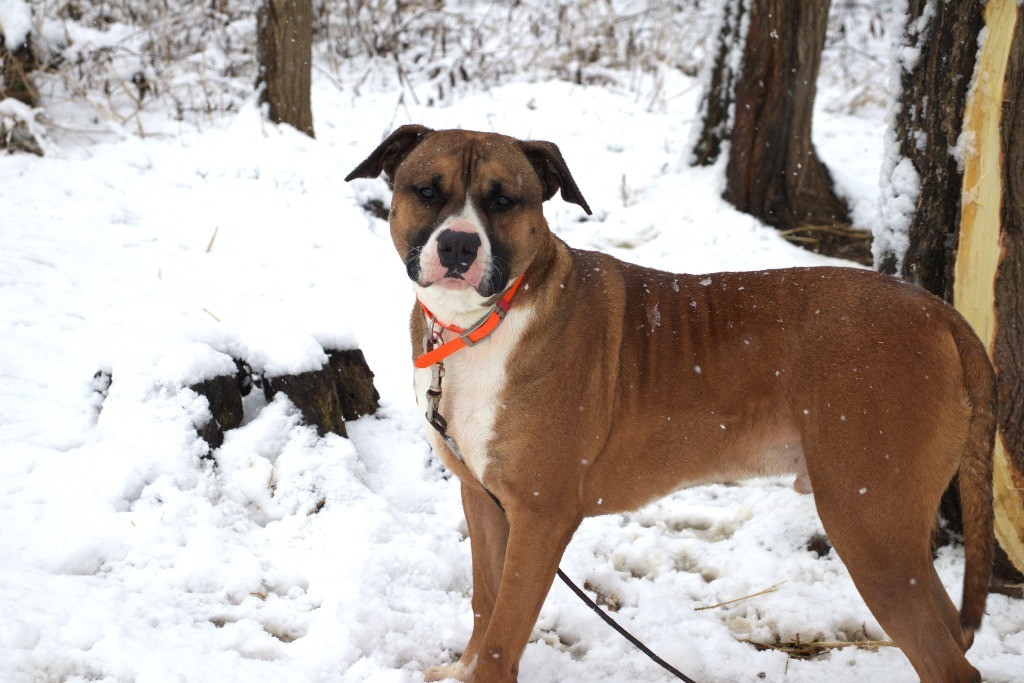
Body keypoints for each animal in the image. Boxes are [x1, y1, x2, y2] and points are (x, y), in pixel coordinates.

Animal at [344, 125, 991, 679]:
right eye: (427, 191)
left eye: (504, 200)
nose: (457, 245)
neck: (479, 327)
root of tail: (940, 313)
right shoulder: (484, 499)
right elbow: (485, 601)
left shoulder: (541, 516)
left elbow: (505, 633)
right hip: (892, 532)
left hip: (870, 525)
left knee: (948, 663)